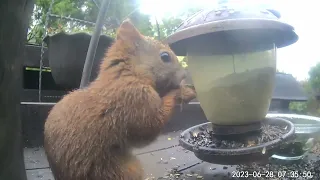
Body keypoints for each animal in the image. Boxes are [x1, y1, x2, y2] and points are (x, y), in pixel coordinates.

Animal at [43, 20, 196, 180]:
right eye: (165, 56)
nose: (184, 76)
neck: (126, 75)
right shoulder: (135, 99)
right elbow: (151, 126)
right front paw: (183, 93)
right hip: (122, 172)